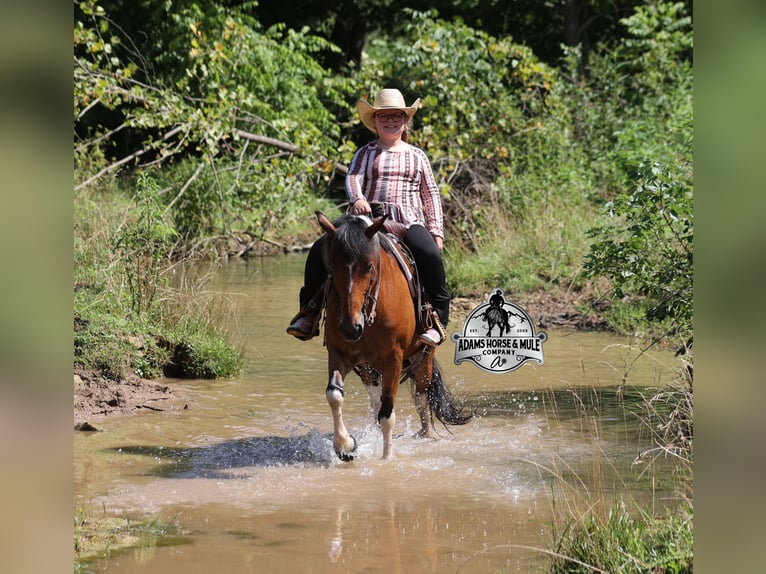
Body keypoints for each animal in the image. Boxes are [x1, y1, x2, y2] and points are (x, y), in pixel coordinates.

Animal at [316, 211, 471, 460]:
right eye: (331, 266)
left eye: (369, 266)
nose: (350, 328)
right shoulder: (339, 353)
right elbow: (335, 395)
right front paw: (346, 446)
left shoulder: (394, 359)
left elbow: (388, 413)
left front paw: (387, 460)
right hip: (368, 368)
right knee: (375, 399)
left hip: (424, 357)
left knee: (421, 396)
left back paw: (426, 435)